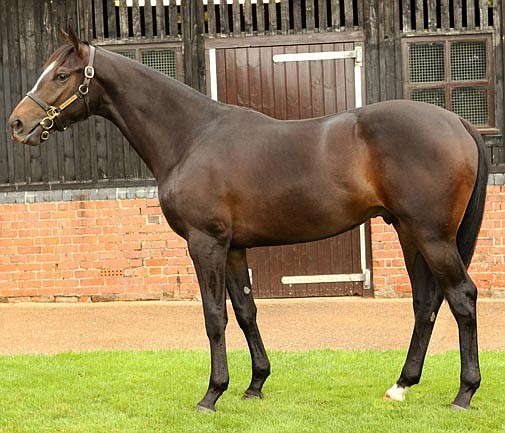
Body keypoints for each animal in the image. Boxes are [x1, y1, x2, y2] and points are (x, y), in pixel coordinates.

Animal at [8, 28, 488, 410]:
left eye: (62, 75)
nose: (17, 123)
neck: (191, 136)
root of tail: (458, 121)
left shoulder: (204, 243)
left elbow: (213, 317)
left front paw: (212, 393)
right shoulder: (234, 247)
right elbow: (245, 311)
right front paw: (255, 384)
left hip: (432, 236)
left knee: (462, 297)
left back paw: (464, 394)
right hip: (409, 233)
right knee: (426, 302)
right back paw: (401, 386)